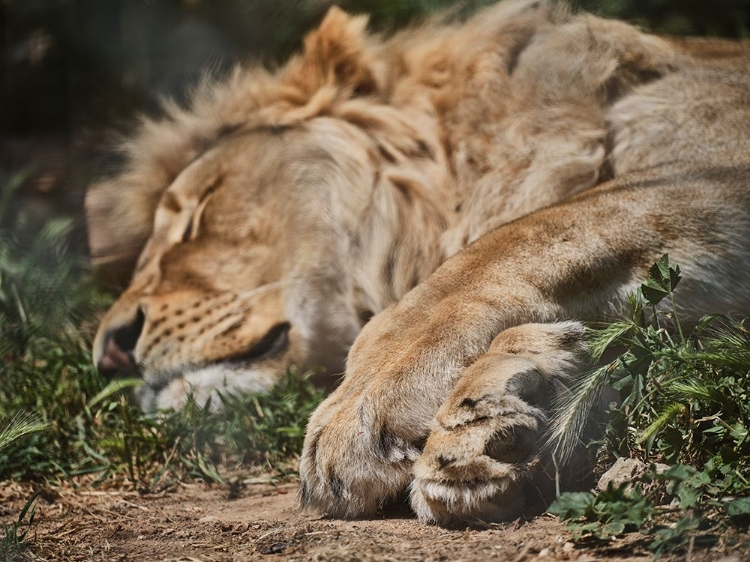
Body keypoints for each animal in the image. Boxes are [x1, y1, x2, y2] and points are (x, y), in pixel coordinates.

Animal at [91, 0, 750, 524]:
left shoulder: (713, 162)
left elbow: (513, 240)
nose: (110, 353)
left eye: (200, 210)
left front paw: (370, 399)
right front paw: (505, 403)